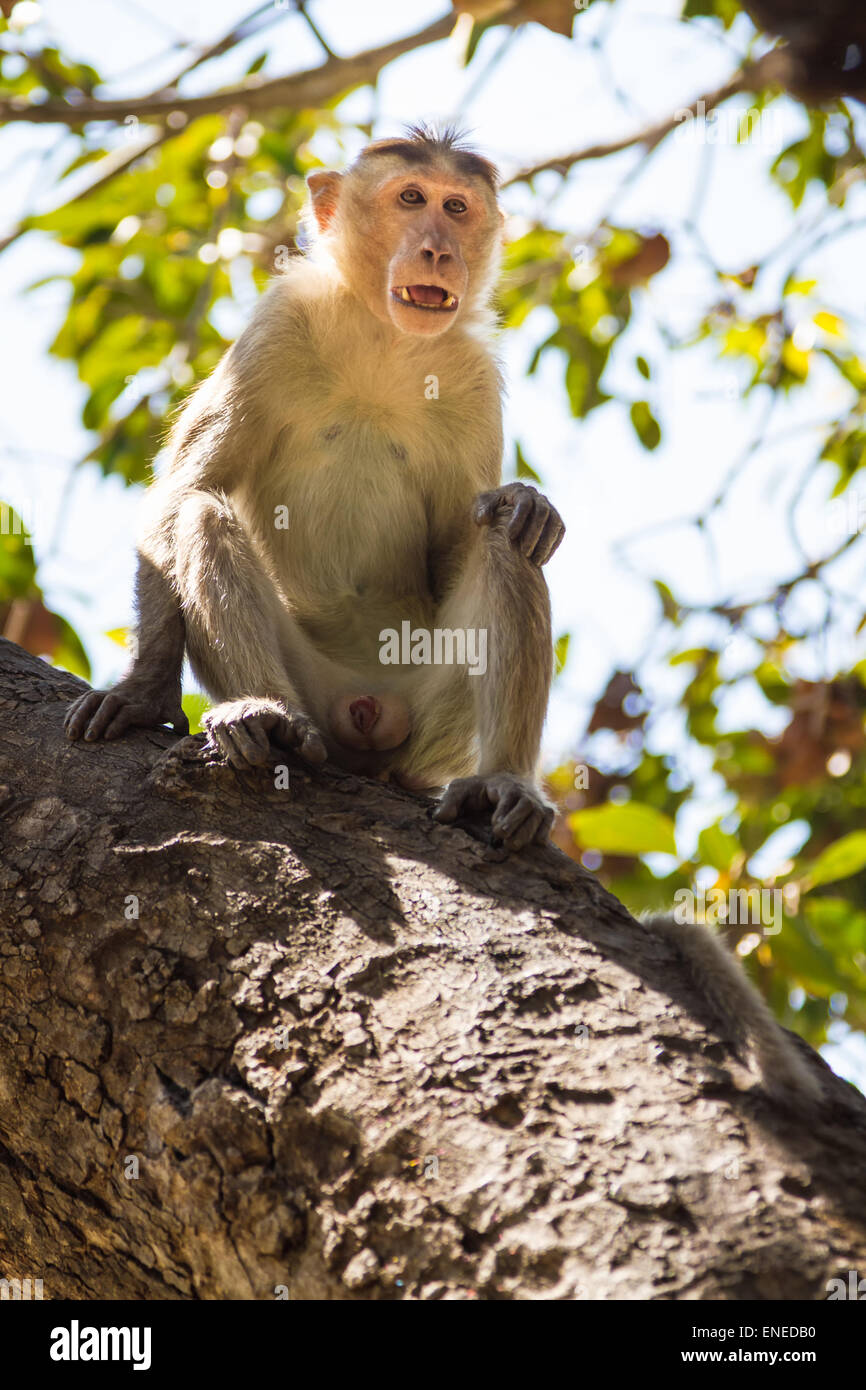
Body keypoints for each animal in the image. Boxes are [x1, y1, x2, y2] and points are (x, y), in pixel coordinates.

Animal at [67, 125, 569, 850]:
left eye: (456, 208)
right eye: (411, 198)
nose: (438, 249)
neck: (385, 340)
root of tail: (368, 711)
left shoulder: (473, 379)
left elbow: (461, 543)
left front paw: (526, 499)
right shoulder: (275, 328)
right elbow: (186, 488)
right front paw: (143, 691)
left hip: (432, 720)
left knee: (506, 543)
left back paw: (500, 782)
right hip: (318, 690)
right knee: (201, 515)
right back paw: (266, 716)